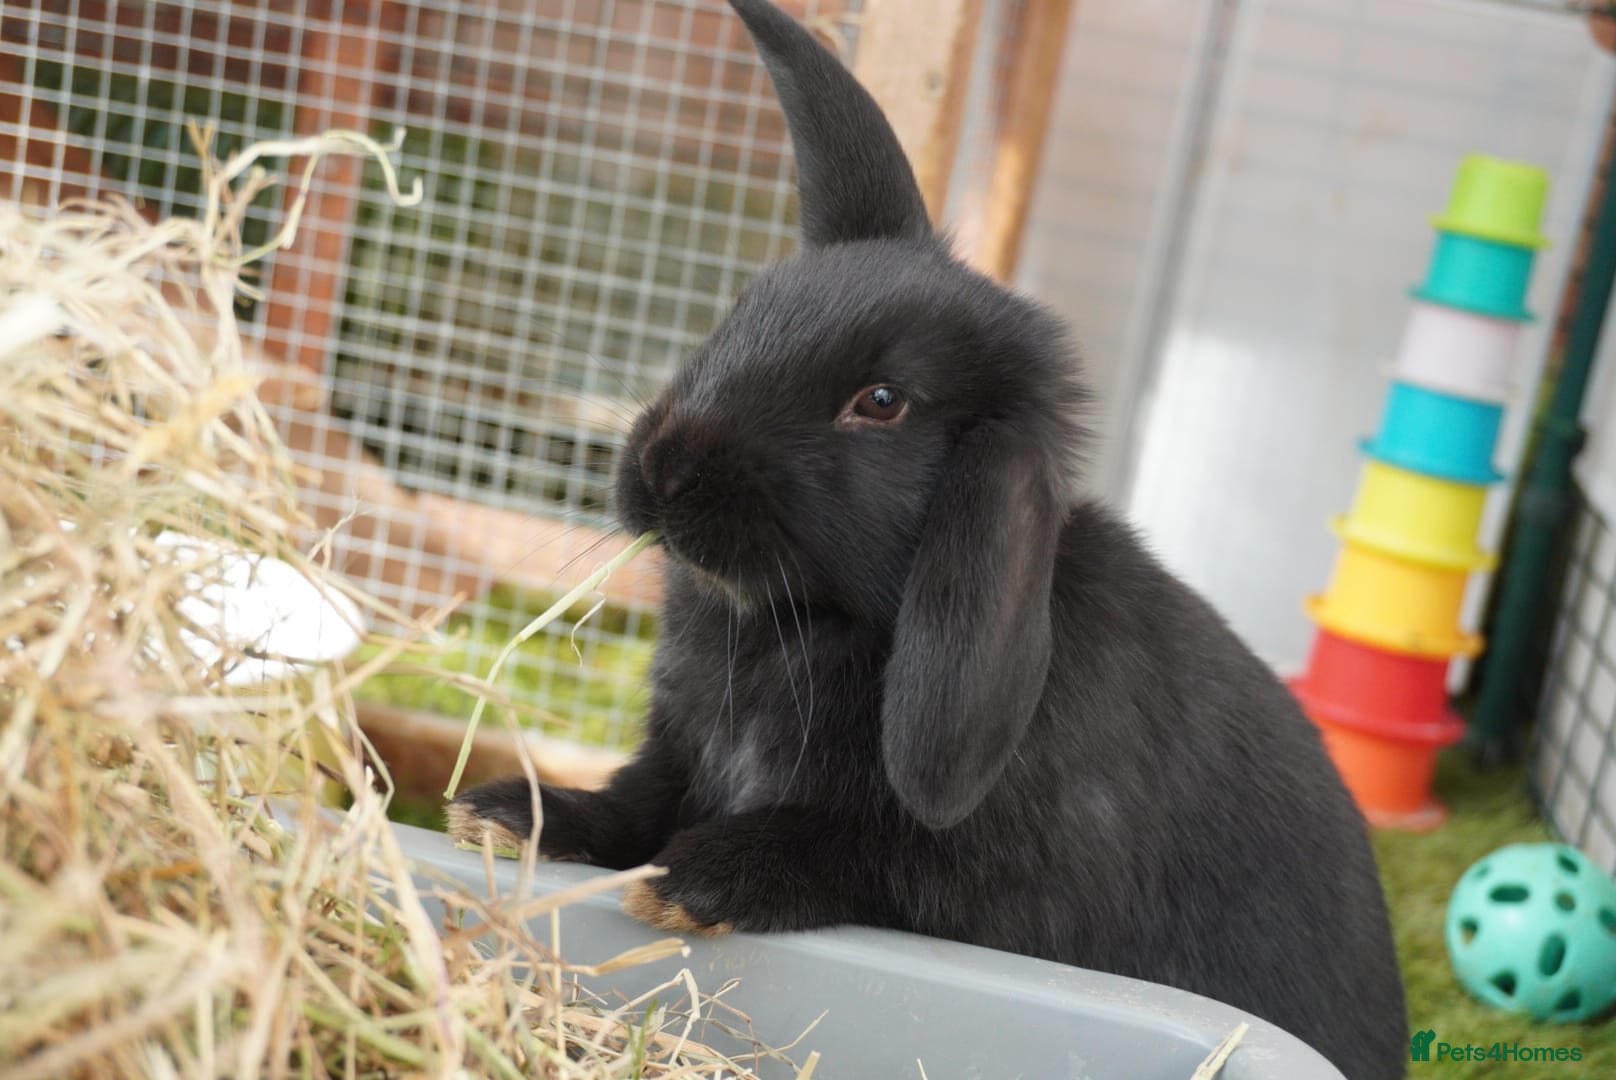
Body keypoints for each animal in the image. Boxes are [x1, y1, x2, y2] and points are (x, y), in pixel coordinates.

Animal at [449, 1, 1408, 1076]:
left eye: (882, 401)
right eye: (743, 309)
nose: (663, 468)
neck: (804, 622)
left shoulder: (961, 872)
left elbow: (843, 853)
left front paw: (689, 882)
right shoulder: (676, 756)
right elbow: (629, 803)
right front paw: (504, 813)